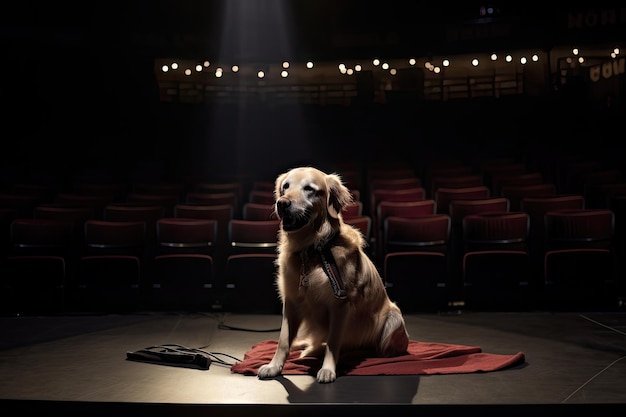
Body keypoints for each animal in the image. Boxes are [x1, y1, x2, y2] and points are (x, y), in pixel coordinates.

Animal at [256, 166, 408, 384]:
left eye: (309, 189)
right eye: (285, 186)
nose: (282, 203)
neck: (310, 250)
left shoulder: (340, 304)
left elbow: (333, 341)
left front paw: (328, 369)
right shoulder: (291, 301)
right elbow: (283, 340)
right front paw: (274, 366)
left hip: (393, 318)